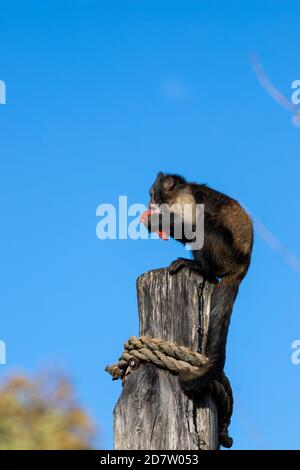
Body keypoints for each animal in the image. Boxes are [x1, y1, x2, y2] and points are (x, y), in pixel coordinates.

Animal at [141, 173, 253, 390]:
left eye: (151, 194)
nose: (149, 203)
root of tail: (241, 269)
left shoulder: (185, 196)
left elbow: (192, 226)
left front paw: (157, 221)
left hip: (225, 255)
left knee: (204, 224)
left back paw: (201, 268)